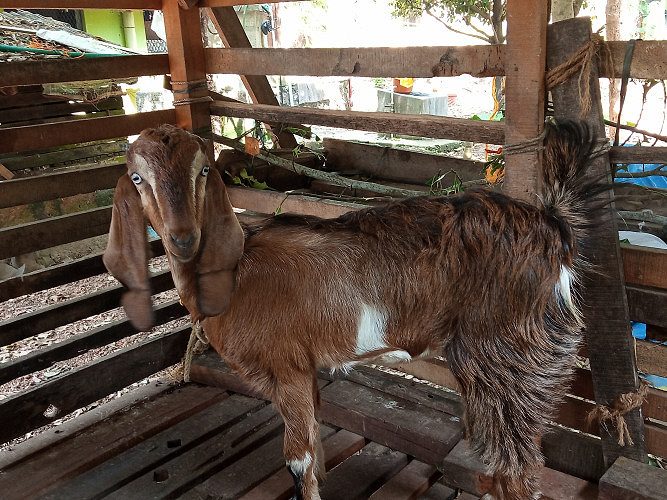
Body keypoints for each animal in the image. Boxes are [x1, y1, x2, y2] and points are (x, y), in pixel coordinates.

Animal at [104, 121, 602, 499]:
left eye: (204, 169)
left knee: (518, 465)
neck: (237, 272)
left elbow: (297, 459)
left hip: (508, 354)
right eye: (137, 178)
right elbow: (315, 440)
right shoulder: (305, 370)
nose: (183, 238)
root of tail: (553, 225)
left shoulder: (285, 367)